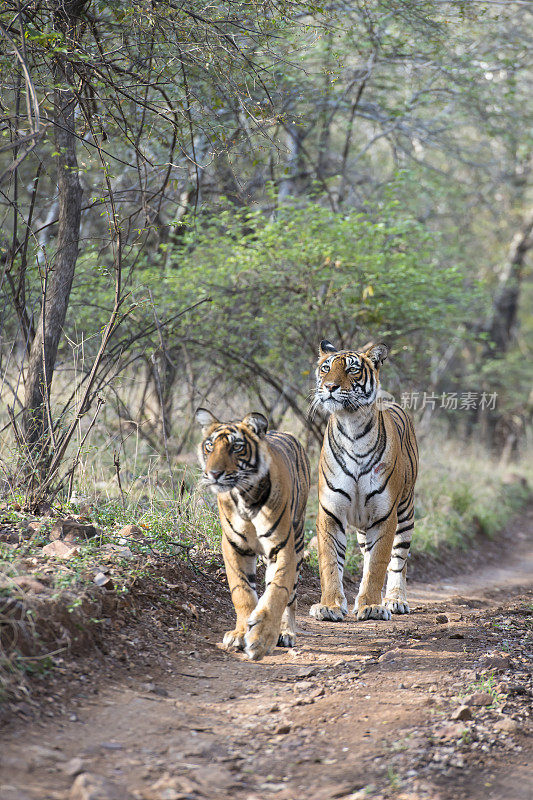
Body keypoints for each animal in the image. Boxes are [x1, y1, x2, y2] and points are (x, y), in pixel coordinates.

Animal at [195, 410, 312, 660]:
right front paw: (240, 634)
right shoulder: (234, 547)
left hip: (298, 542)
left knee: (291, 597)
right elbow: (243, 592)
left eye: (236, 447)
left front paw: (261, 639)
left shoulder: (282, 547)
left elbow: (277, 592)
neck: (245, 497)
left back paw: (285, 632)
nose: (214, 473)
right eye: (210, 446)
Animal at [308, 340, 420, 620]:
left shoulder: (385, 515)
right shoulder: (330, 511)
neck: (352, 427)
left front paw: (371, 606)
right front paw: (329, 606)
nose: (330, 387)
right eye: (326, 368)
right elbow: (329, 562)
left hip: (405, 512)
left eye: (352, 370)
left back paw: (394, 600)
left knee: (398, 561)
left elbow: (379, 563)